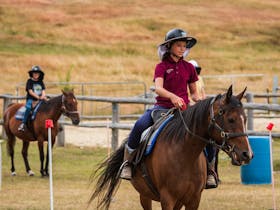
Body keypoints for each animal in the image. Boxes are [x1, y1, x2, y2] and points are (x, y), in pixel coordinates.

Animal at [88, 85, 253, 210]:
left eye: (245, 118)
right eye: (231, 119)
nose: (247, 154)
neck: (185, 154)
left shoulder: (193, 200)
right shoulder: (168, 199)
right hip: (145, 195)